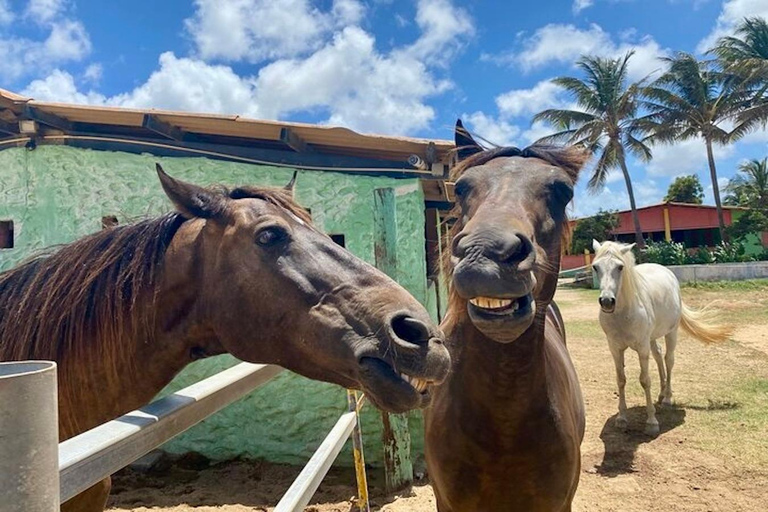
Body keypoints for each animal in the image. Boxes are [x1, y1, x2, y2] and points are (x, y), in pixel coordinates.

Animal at [592, 241, 728, 436]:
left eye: (620, 267)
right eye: (596, 267)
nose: (607, 301)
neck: (624, 313)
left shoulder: (642, 348)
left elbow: (645, 380)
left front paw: (651, 422)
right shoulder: (615, 348)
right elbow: (621, 380)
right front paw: (622, 418)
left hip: (671, 333)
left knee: (668, 359)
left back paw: (667, 398)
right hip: (652, 338)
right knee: (658, 355)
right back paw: (662, 393)